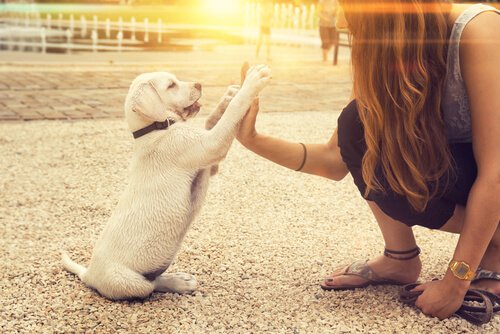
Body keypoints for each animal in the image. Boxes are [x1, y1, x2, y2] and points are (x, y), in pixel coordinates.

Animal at [64, 65, 272, 300]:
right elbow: (230, 115)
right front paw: (253, 81)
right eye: (171, 85)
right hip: (130, 282)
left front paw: (228, 96)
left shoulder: (208, 163)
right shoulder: (210, 145)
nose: (199, 84)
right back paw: (178, 283)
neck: (156, 130)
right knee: (152, 285)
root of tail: (89, 274)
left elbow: (212, 121)